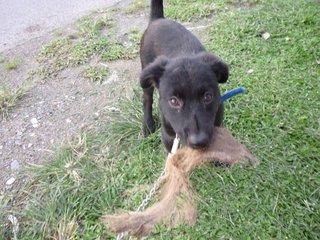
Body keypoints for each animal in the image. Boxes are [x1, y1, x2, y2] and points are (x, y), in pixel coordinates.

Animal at [139, 0, 228, 152]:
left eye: (208, 97)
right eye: (173, 101)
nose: (199, 141)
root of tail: (157, 19)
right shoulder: (168, 136)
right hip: (146, 73)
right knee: (147, 99)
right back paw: (148, 125)